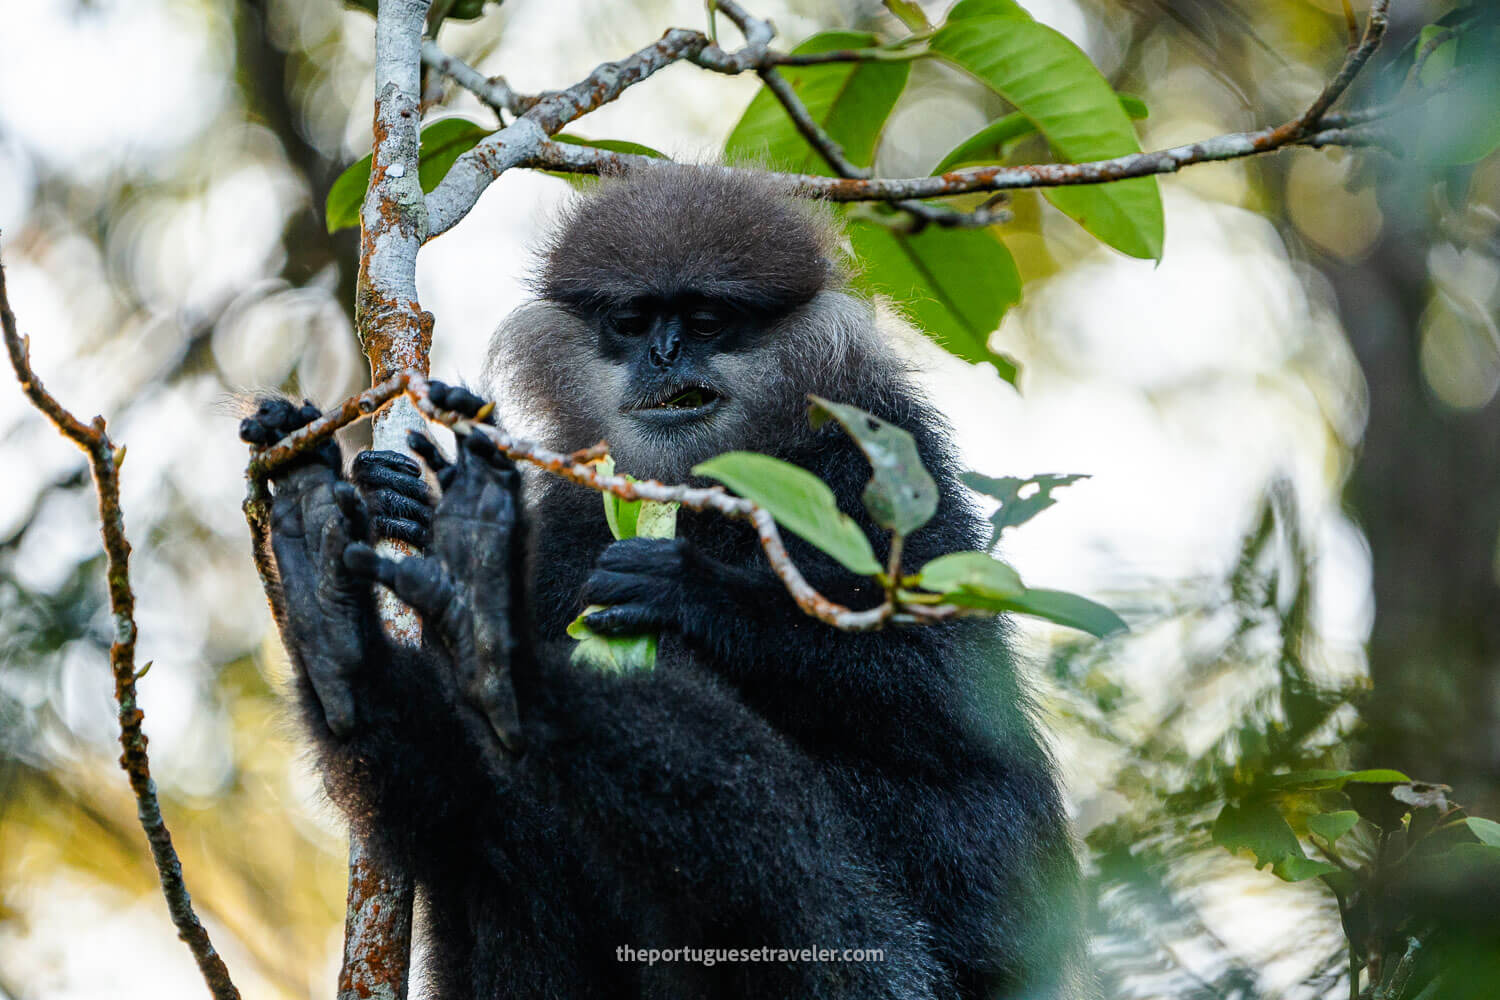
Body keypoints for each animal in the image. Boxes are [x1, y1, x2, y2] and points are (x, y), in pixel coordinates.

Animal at [243, 166, 1092, 1000]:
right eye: (633, 319)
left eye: (708, 319)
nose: (666, 354)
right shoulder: (571, 513)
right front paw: (410, 511)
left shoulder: (879, 454)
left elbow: (952, 691)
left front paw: (683, 586)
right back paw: (347, 618)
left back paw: (512, 658)